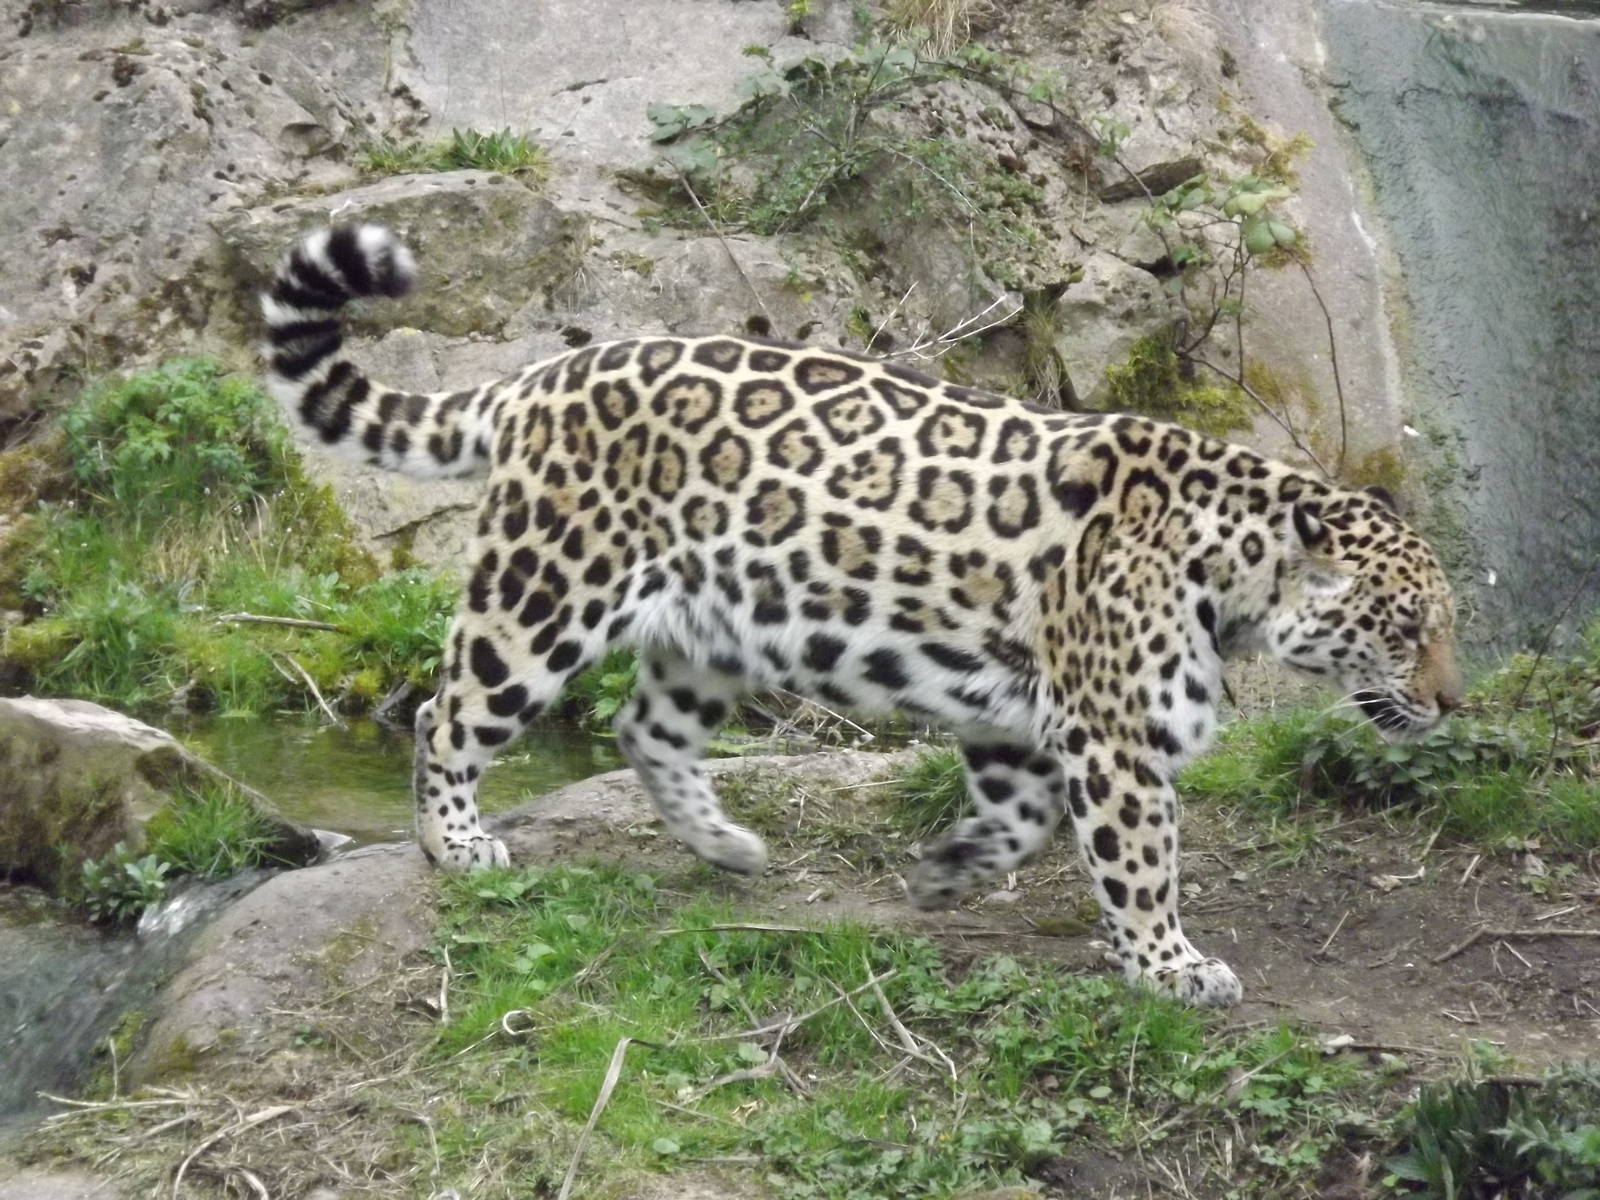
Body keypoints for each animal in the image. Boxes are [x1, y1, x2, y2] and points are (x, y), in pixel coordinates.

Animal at [260, 224, 1463, 1008]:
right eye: (1405, 626)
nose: (1453, 703)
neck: (1232, 563)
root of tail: (543, 376)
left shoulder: (1024, 717)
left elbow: (1022, 817)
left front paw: (948, 871)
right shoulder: (1112, 734)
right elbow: (1141, 856)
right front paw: (1172, 966)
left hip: (716, 620)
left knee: (645, 726)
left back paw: (727, 846)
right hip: (549, 588)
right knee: (449, 709)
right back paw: (457, 841)